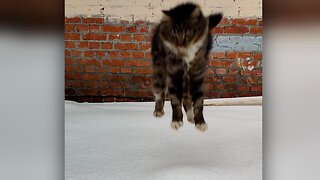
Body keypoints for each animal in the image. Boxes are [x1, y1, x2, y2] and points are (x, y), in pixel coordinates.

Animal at [151, 2, 222, 131]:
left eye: (188, 33)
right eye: (173, 33)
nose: (180, 45)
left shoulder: (197, 73)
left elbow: (198, 102)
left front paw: (200, 122)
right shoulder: (174, 72)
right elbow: (175, 101)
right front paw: (176, 121)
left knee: (186, 97)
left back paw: (190, 116)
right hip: (159, 67)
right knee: (159, 91)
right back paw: (158, 110)